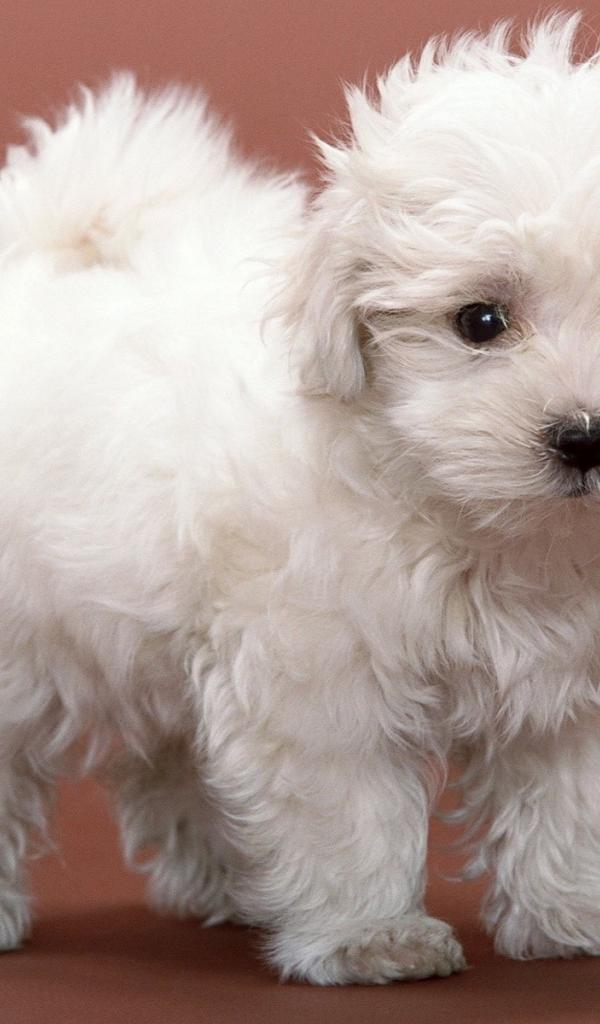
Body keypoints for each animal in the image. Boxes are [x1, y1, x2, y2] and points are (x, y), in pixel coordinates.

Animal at [2, 11, 600, 985]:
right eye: (480, 321)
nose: (583, 435)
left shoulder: (567, 685)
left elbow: (565, 799)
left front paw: (569, 915)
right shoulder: (319, 671)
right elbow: (350, 803)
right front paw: (373, 937)